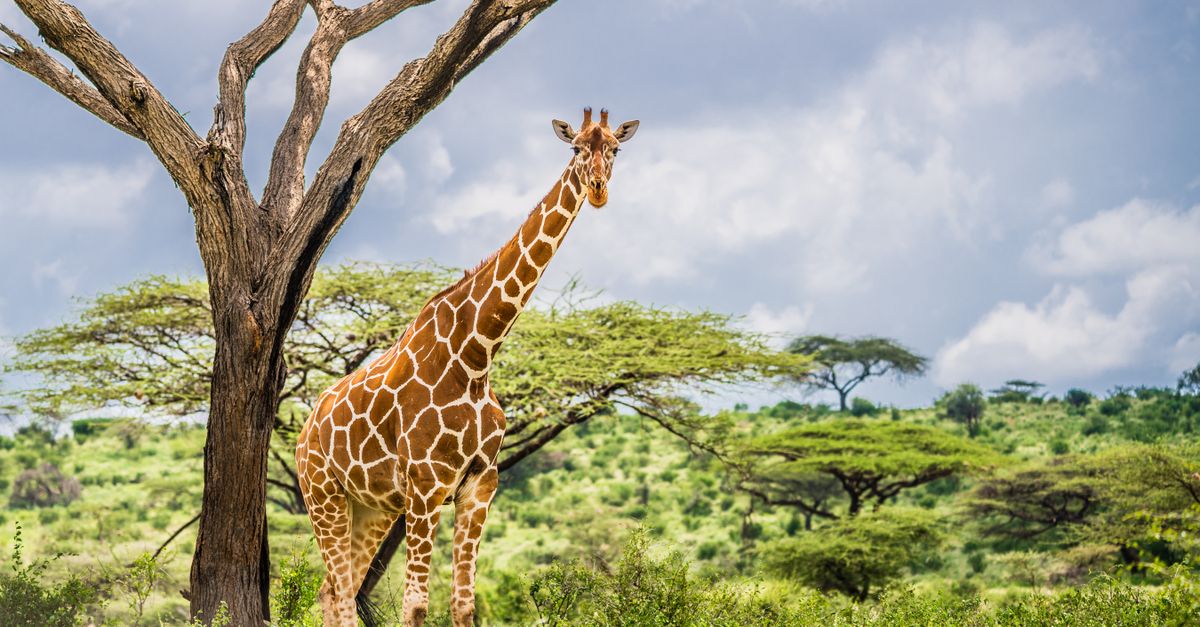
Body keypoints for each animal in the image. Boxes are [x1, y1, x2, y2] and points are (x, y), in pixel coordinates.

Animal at [296, 107, 639, 627]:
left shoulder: (479, 484)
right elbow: (416, 603)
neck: (476, 355)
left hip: (370, 507)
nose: (598, 188)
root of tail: (303, 432)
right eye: (577, 148)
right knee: (337, 591)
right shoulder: (426, 485)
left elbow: (464, 602)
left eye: (615, 149)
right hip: (323, 494)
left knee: (333, 590)